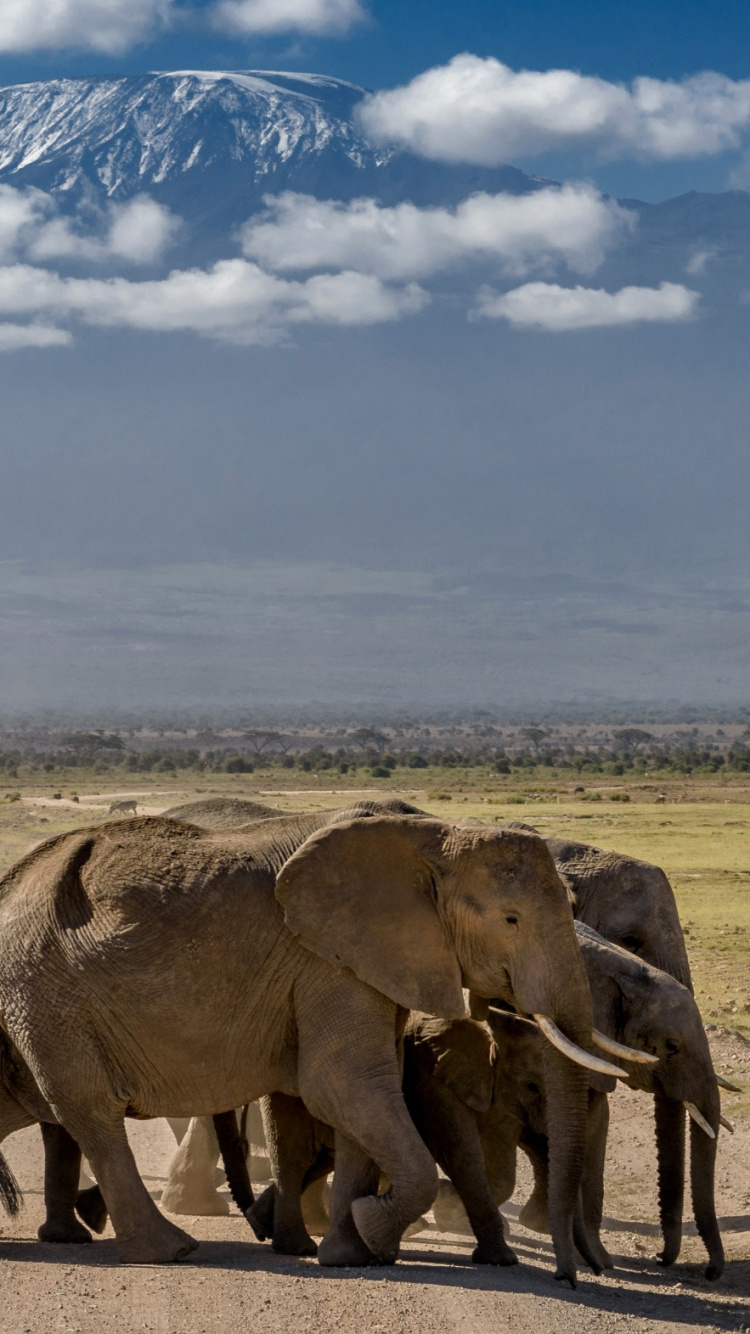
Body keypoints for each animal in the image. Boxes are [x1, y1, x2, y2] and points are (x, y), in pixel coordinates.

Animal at [0, 811, 622, 1285]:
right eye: (511, 920)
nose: (571, 1277)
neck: (433, 837)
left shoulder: (370, 964)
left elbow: (362, 1096)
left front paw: (351, 1253)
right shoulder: (329, 961)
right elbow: (345, 1086)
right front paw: (372, 1228)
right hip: (49, 996)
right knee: (91, 1108)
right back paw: (171, 1250)